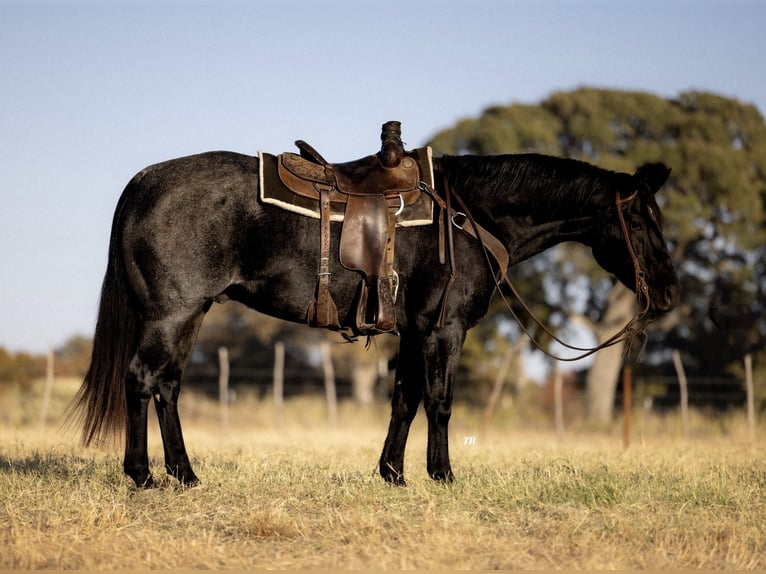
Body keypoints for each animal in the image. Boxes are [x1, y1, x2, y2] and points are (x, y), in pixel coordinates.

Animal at [72, 150, 680, 490]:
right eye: (640, 219)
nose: (670, 293)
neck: (469, 216)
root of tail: (146, 179)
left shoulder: (412, 333)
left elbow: (404, 401)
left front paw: (394, 474)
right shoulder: (443, 330)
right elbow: (439, 401)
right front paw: (443, 475)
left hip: (187, 315)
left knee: (168, 386)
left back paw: (185, 475)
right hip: (170, 314)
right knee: (142, 380)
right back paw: (143, 475)